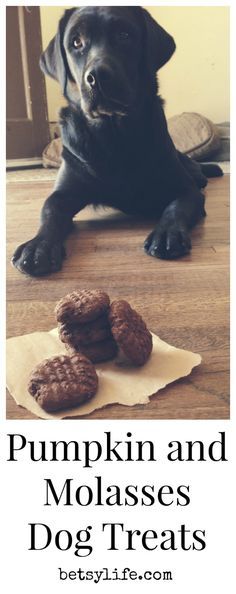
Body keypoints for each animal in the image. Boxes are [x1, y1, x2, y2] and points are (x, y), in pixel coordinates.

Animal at [12, 6, 223, 276]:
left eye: (124, 35)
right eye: (76, 42)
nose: (97, 76)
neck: (113, 135)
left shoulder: (185, 189)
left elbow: (176, 206)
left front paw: (167, 234)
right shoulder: (63, 191)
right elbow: (49, 210)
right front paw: (38, 247)